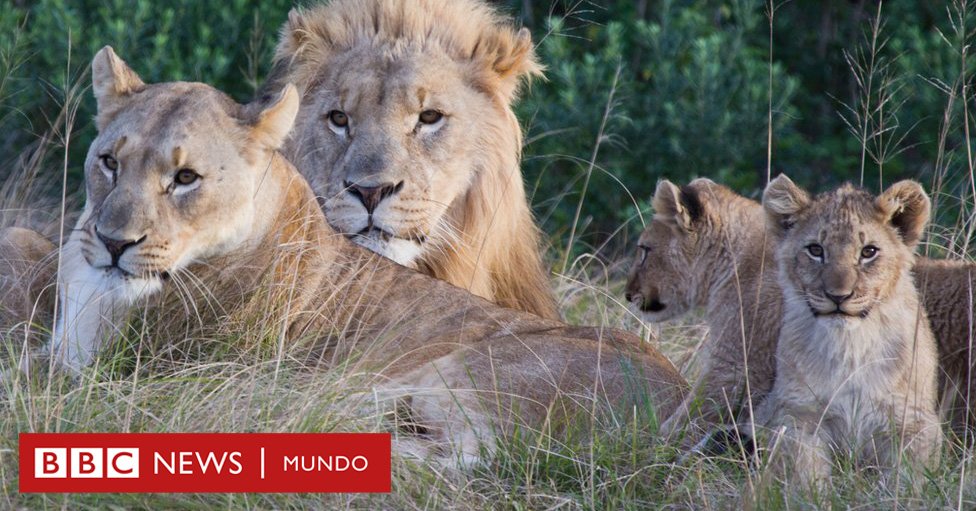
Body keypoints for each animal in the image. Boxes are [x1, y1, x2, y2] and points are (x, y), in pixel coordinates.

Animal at [37, 47, 685, 465]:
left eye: (186, 178)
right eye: (109, 161)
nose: (114, 243)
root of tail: (690, 411)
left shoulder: (138, 379)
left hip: (455, 375)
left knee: (463, 458)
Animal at [627, 178, 976, 442]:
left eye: (644, 250)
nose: (628, 294)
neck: (734, 262)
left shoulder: (739, 363)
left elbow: (689, 416)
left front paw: (651, 447)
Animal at [754, 175, 941, 489]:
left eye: (869, 252)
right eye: (816, 250)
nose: (838, 296)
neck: (850, 345)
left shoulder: (915, 421)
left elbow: (906, 477)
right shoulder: (795, 414)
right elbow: (805, 470)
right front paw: (814, 494)